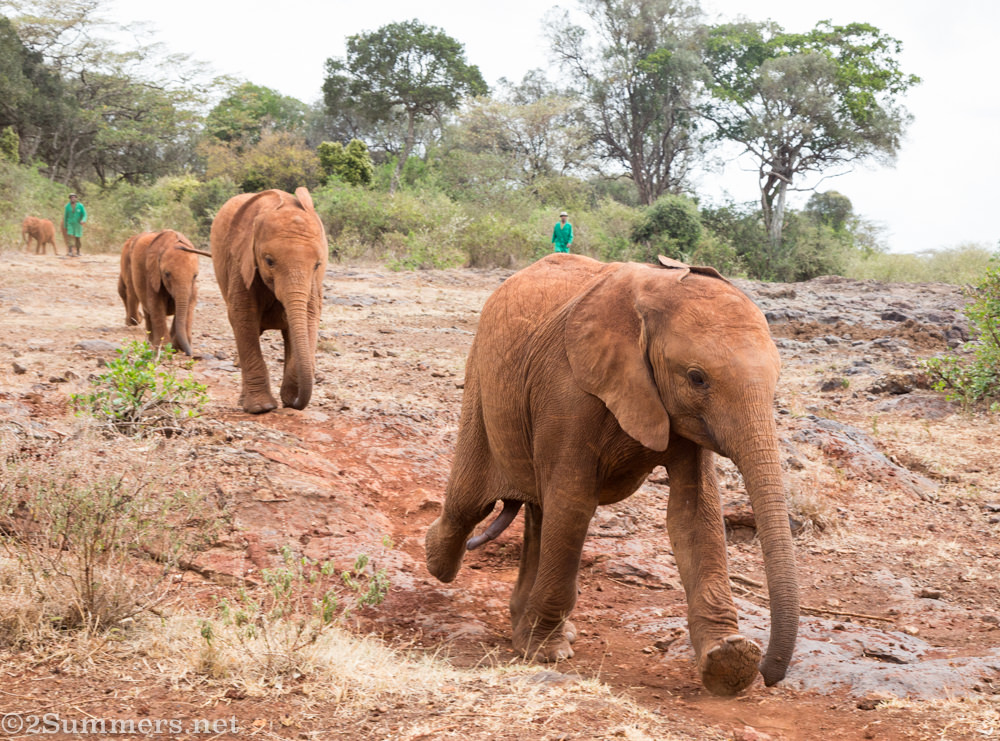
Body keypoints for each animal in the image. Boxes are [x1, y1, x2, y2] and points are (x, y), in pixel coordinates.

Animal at [209, 187, 328, 413]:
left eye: (318, 264)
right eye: (269, 261)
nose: (296, 403)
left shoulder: (314, 282)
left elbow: (309, 316)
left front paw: (289, 398)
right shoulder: (242, 262)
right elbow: (243, 316)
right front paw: (262, 407)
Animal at [425, 253, 799, 697]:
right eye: (697, 378)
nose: (770, 677)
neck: (651, 299)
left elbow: (695, 512)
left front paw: (730, 661)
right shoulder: (569, 390)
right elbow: (574, 503)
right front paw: (549, 655)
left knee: (539, 513)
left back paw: (526, 630)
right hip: (481, 381)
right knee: (471, 502)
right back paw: (436, 559)